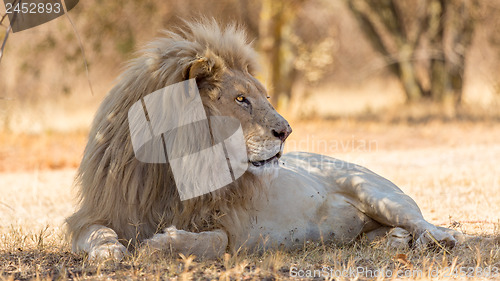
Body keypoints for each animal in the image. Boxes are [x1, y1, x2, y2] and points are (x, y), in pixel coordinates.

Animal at [64, 20, 462, 260]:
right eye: (241, 99)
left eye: (265, 97)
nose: (286, 131)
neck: (175, 170)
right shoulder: (101, 212)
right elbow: (97, 233)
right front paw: (109, 253)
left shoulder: (233, 229)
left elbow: (211, 241)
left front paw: (161, 244)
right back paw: (393, 240)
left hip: (377, 192)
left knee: (422, 221)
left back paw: (437, 239)